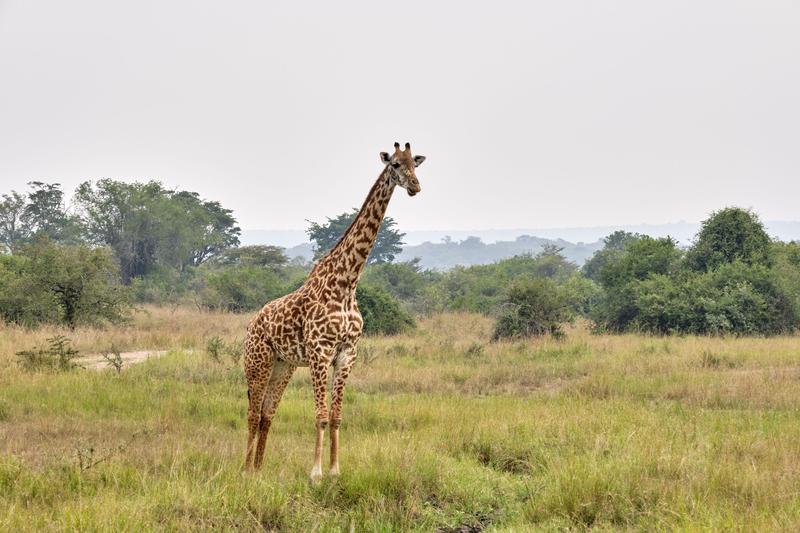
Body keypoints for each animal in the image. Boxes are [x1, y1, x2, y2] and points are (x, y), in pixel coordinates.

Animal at [242, 140, 424, 478]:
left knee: (266, 414)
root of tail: (251, 324)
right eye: (394, 164)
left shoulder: (347, 353)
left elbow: (337, 416)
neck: (347, 282)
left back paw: (260, 470)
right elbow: (321, 415)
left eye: (415, 164)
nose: (416, 187)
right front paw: (315, 474)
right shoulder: (320, 351)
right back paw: (246, 470)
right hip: (257, 362)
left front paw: (336, 471)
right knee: (251, 412)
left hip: (283, 365)